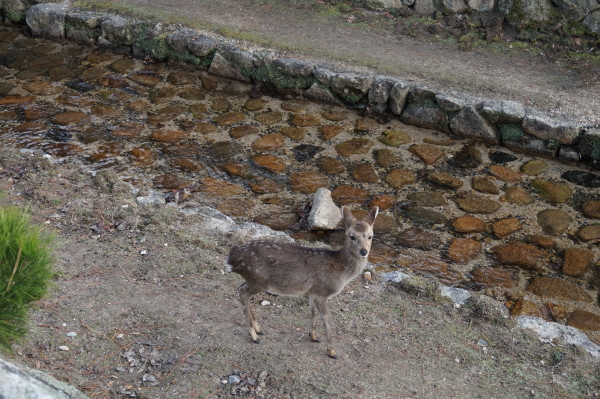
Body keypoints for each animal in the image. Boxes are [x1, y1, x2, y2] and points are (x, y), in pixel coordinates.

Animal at [225, 206, 380, 360]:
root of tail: (231, 258)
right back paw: (254, 336)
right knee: (243, 293)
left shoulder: (313, 292)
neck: (340, 270)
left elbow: (313, 312)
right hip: (259, 279)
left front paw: (314, 336)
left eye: (370, 236)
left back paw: (258, 329)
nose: (364, 251)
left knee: (241, 289)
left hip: (252, 279)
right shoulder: (321, 292)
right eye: (352, 236)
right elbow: (327, 318)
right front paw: (332, 351)